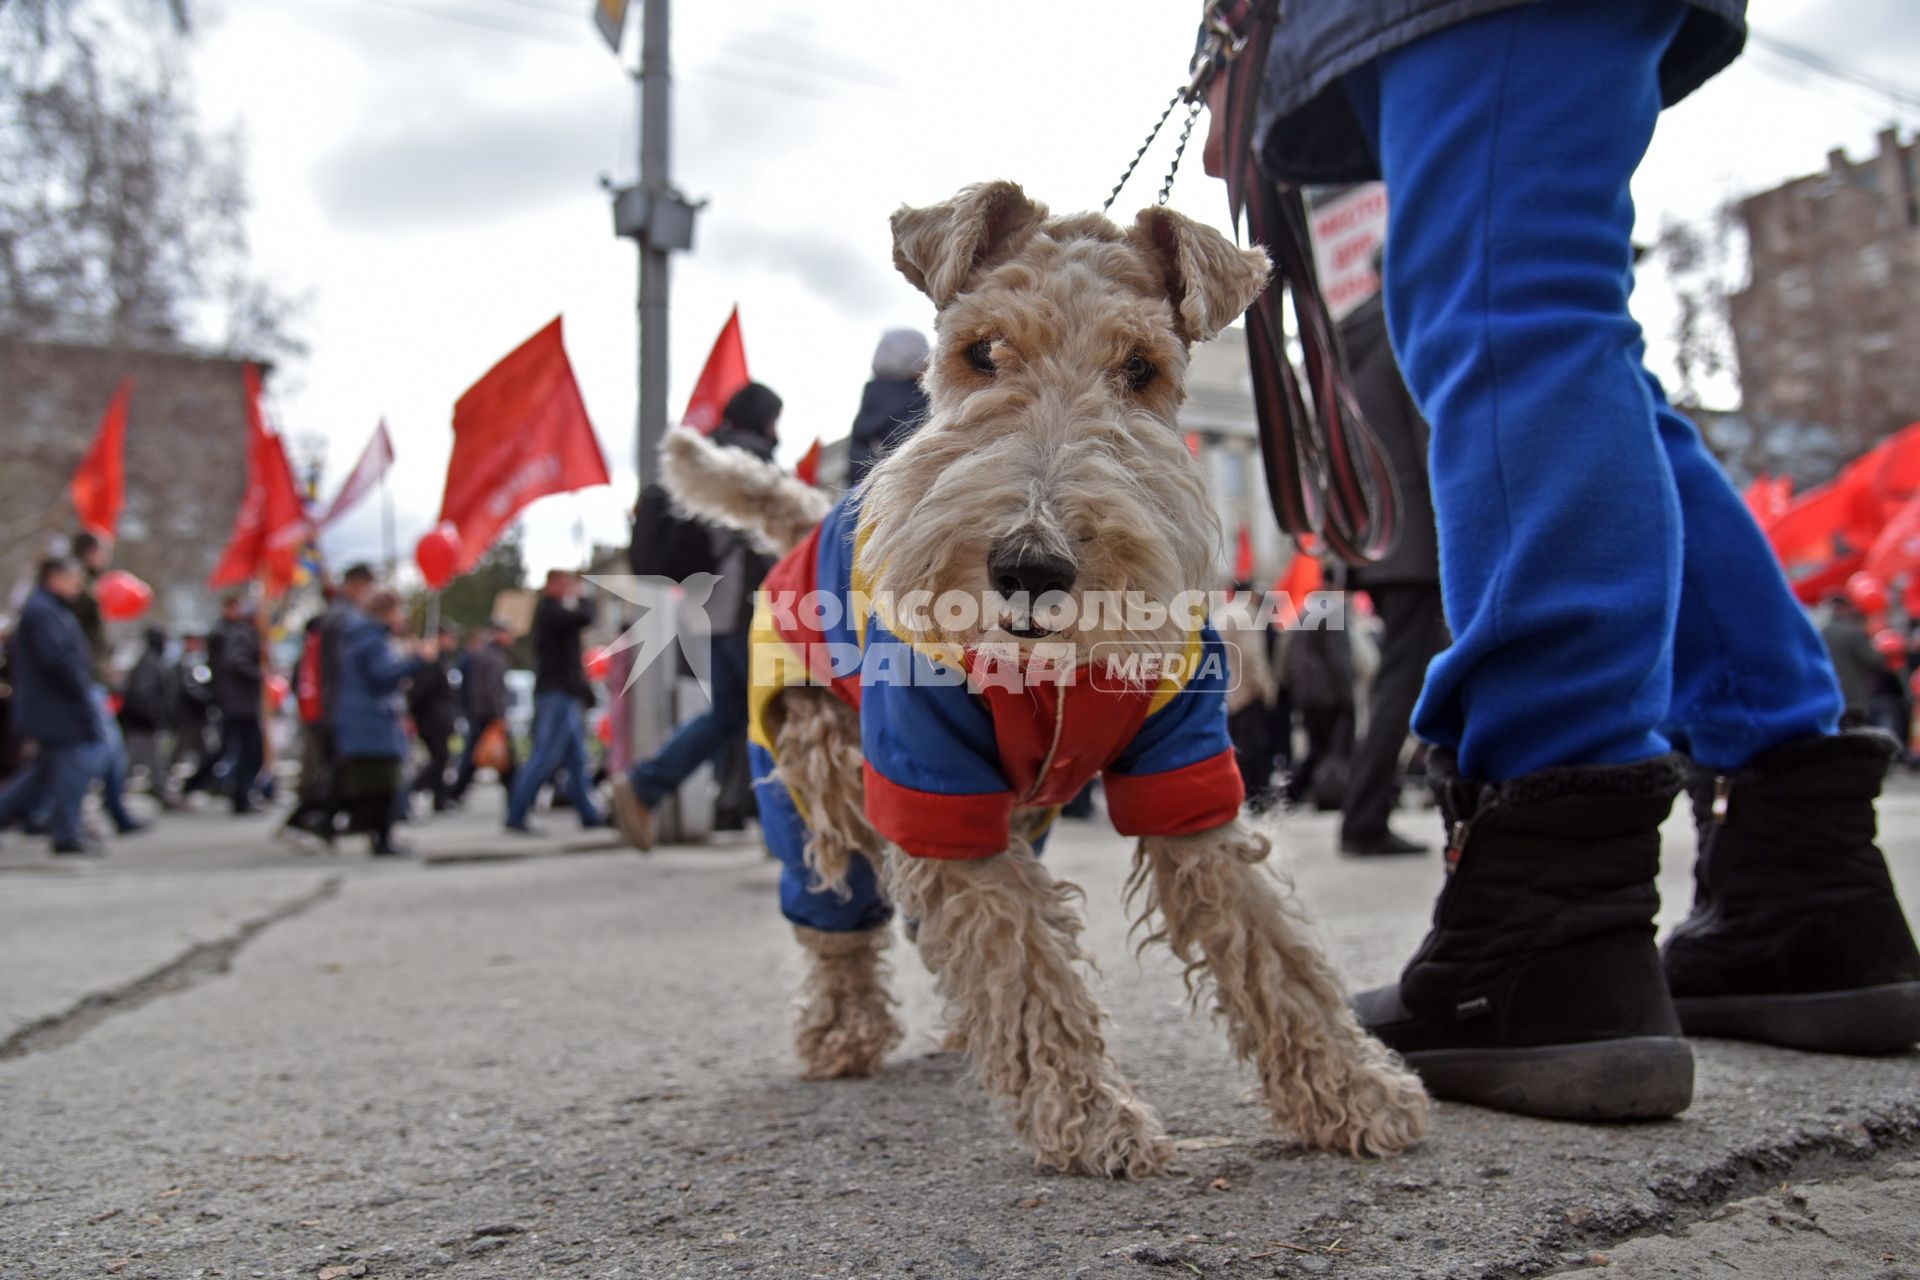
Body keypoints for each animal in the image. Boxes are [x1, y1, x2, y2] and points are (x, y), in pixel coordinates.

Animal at [648, 182, 1428, 1182]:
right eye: (981, 352)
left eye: (1141, 368)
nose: (1031, 566)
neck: (1048, 677)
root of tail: (812, 517)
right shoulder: (935, 788)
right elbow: (1023, 962)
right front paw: (1092, 1119)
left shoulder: (1187, 778)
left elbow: (1271, 948)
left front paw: (1355, 1090)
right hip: (811, 773)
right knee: (836, 915)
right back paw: (841, 1035)